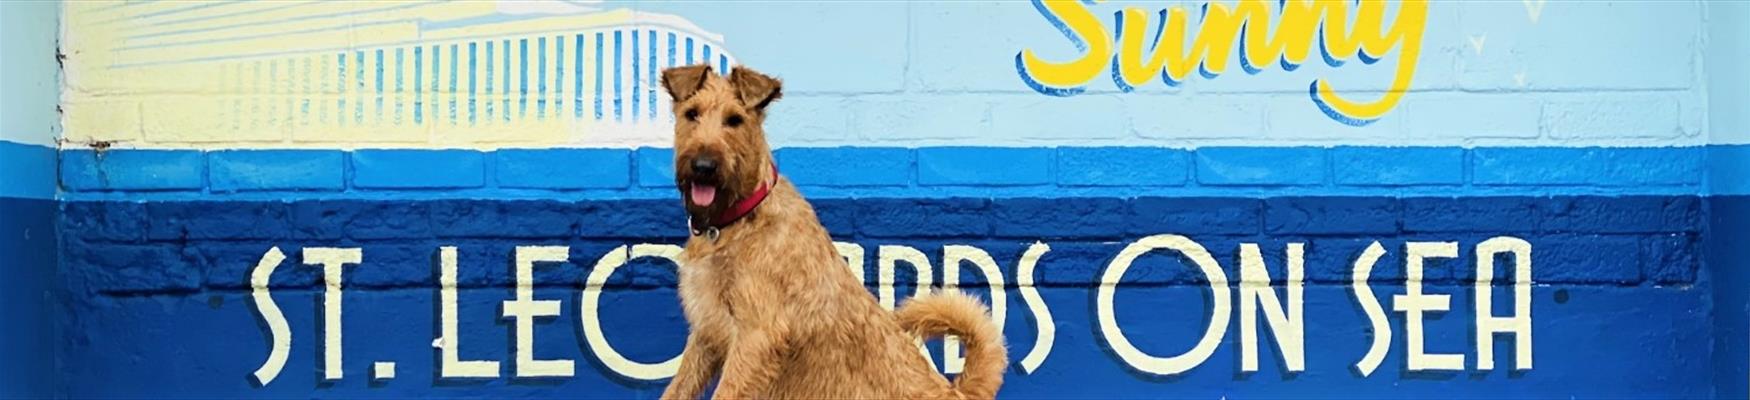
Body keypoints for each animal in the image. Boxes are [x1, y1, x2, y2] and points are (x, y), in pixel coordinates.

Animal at [658, 64, 1008, 398]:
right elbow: (678, 388)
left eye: (734, 120)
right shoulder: (707, 332)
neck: (735, 220)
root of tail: (957, 393)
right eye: (692, 114)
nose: (703, 166)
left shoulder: (756, 336)